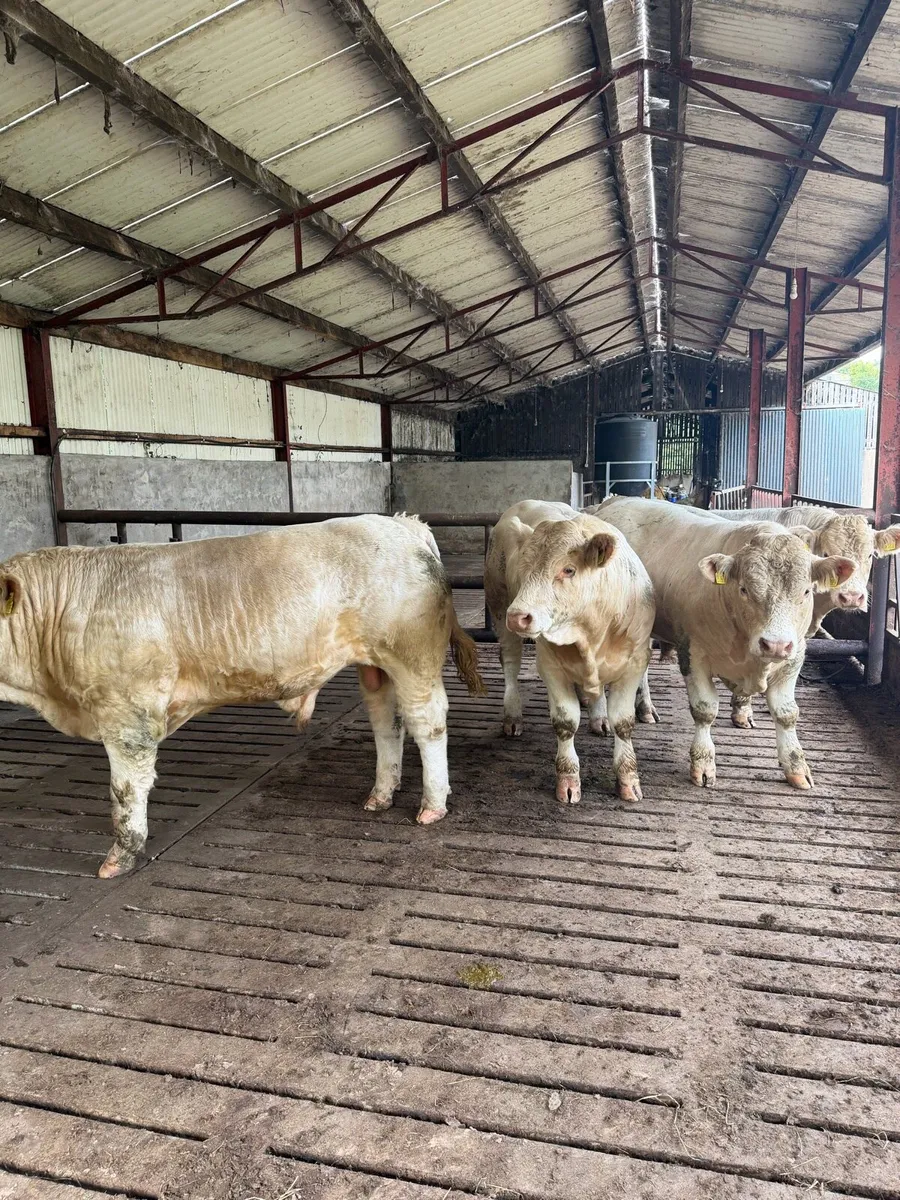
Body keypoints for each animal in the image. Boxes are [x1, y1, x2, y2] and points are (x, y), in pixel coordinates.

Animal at [0, 514, 484, 878]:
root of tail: (403, 524)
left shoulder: (128, 712)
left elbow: (126, 790)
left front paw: (118, 859)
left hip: (412, 656)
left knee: (427, 722)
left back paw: (432, 805)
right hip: (375, 666)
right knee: (388, 722)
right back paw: (380, 795)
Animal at [485, 500, 655, 805]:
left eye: (569, 570)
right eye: (523, 569)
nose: (518, 617)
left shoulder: (635, 662)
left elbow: (624, 722)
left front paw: (628, 779)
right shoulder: (550, 665)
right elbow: (565, 722)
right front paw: (568, 780)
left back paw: (599, 718)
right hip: (499, 608)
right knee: (510, 665)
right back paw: (513, 716)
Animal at [595, 497, 856, 790]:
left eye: (806, 591)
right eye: (744, 590)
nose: (775, 645)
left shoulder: (795, 655)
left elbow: (787, 713)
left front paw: (797, 767)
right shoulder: (693, 654)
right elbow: (704, 710)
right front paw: (703, 763)